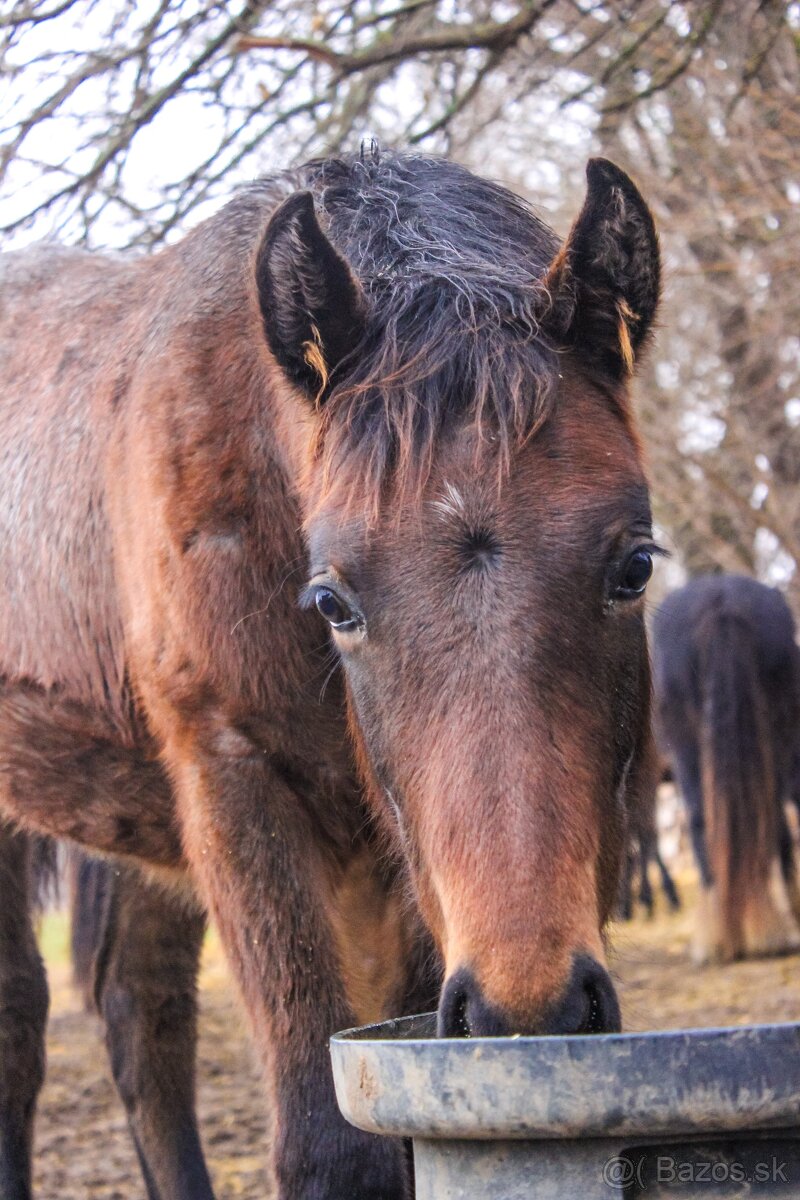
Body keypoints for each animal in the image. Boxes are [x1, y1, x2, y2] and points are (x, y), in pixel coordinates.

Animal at [0, 145, 662, 1195]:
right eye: (334, 602)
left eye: (635, 565)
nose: (532, 1010)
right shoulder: (234, 780)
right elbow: (331, 1144)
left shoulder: (393, 867)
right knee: (22, 1025)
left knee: (141, 1016)